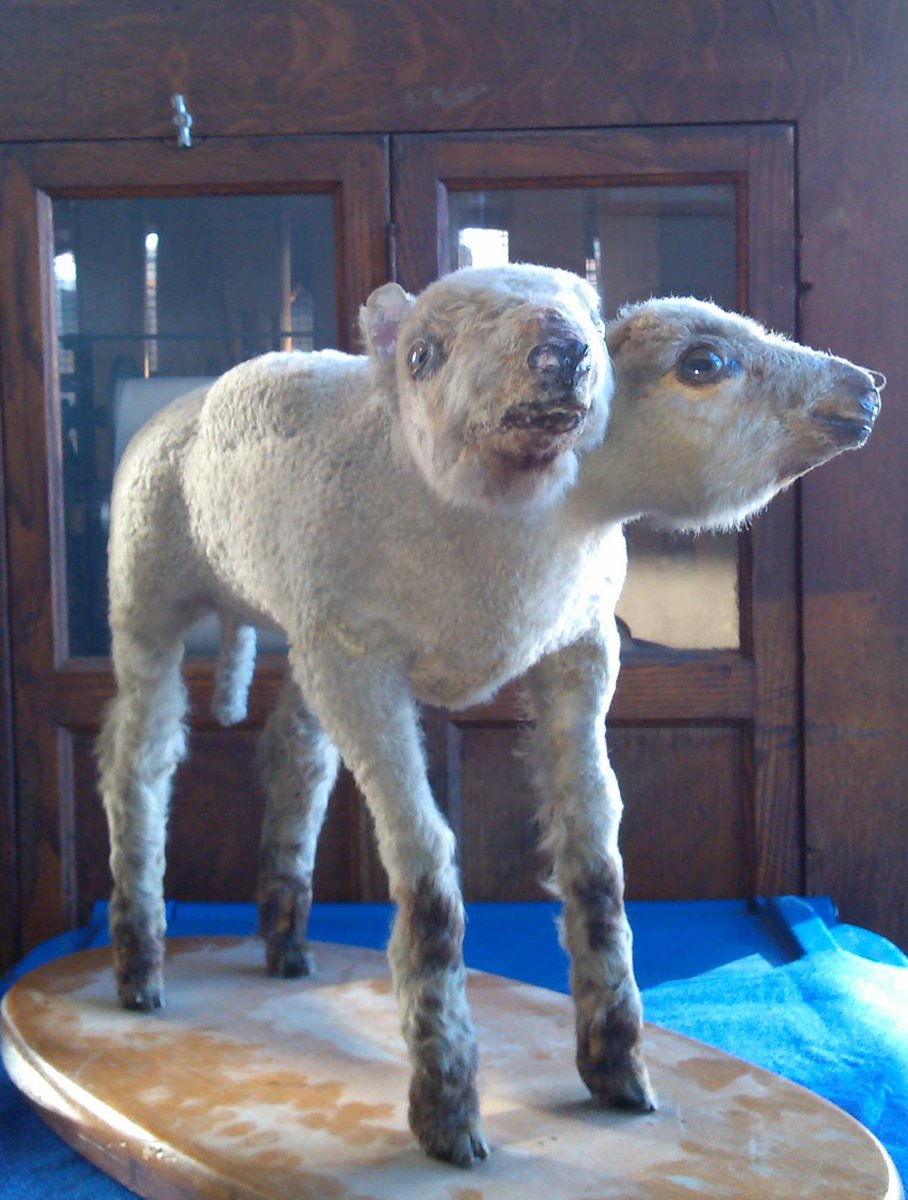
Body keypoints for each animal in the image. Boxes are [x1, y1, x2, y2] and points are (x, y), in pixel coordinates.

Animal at [98, 264, 881, 1167]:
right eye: (703, 362)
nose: (865, 387)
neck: (514, 523)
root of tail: (183, 402)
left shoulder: (580, 648)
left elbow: (594, 855)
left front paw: (618, 1070)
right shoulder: (362, 665)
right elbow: (427, 868)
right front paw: (447, 1108)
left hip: (301, 631)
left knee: (294, 759)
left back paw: (287, 947)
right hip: (151, 601)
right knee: (138, 765)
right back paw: (139, 969)